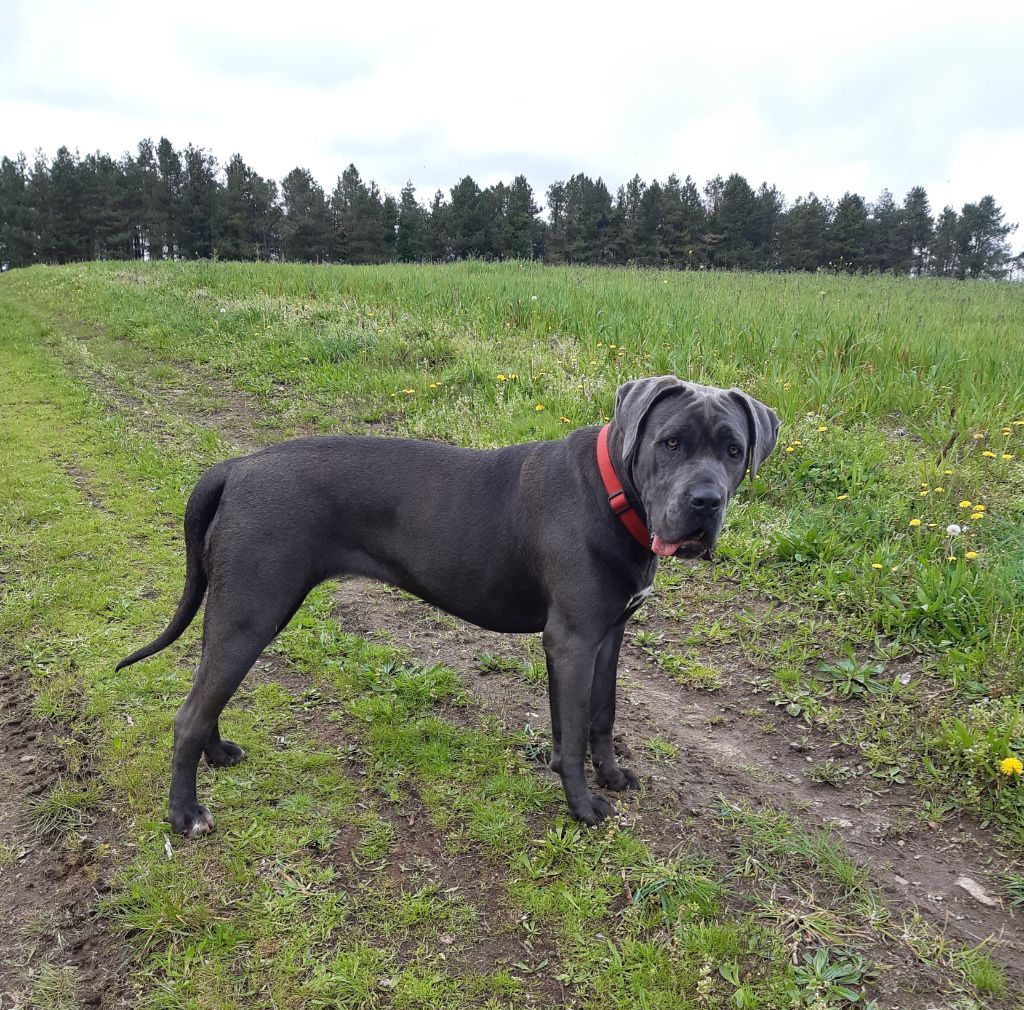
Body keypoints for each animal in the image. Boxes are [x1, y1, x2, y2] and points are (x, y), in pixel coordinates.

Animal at [117, 376, 774, 835]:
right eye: (671, 442)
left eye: (734, 450)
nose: (706, 502)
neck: (614, 493)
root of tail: (237, 466)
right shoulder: (572, 640)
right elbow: (568, 734)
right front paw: (583, 805)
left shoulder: (609, 635)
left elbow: (601, 715)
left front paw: (610, 775)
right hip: (252, 611)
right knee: (189, 712)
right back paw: (185, 814)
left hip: (238, 611)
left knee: (205, 693)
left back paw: (217, 754)